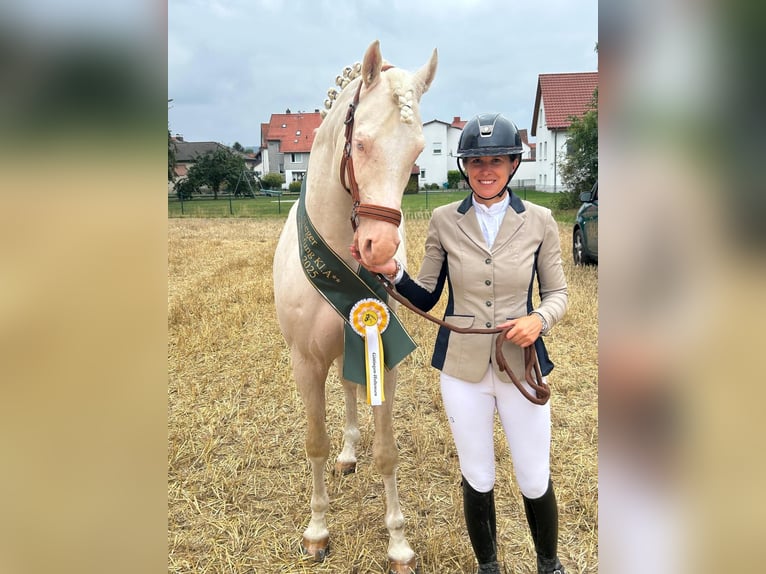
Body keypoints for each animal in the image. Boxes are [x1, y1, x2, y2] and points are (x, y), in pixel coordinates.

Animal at [272, 40, 437, 573]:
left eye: (418, 152)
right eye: (360, 143)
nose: (379, 249)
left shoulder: (383, 354)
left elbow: (386, 451)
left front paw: (398, 544)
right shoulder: (304, 363)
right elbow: (315, 444)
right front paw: (317, 532)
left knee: (348, 388)